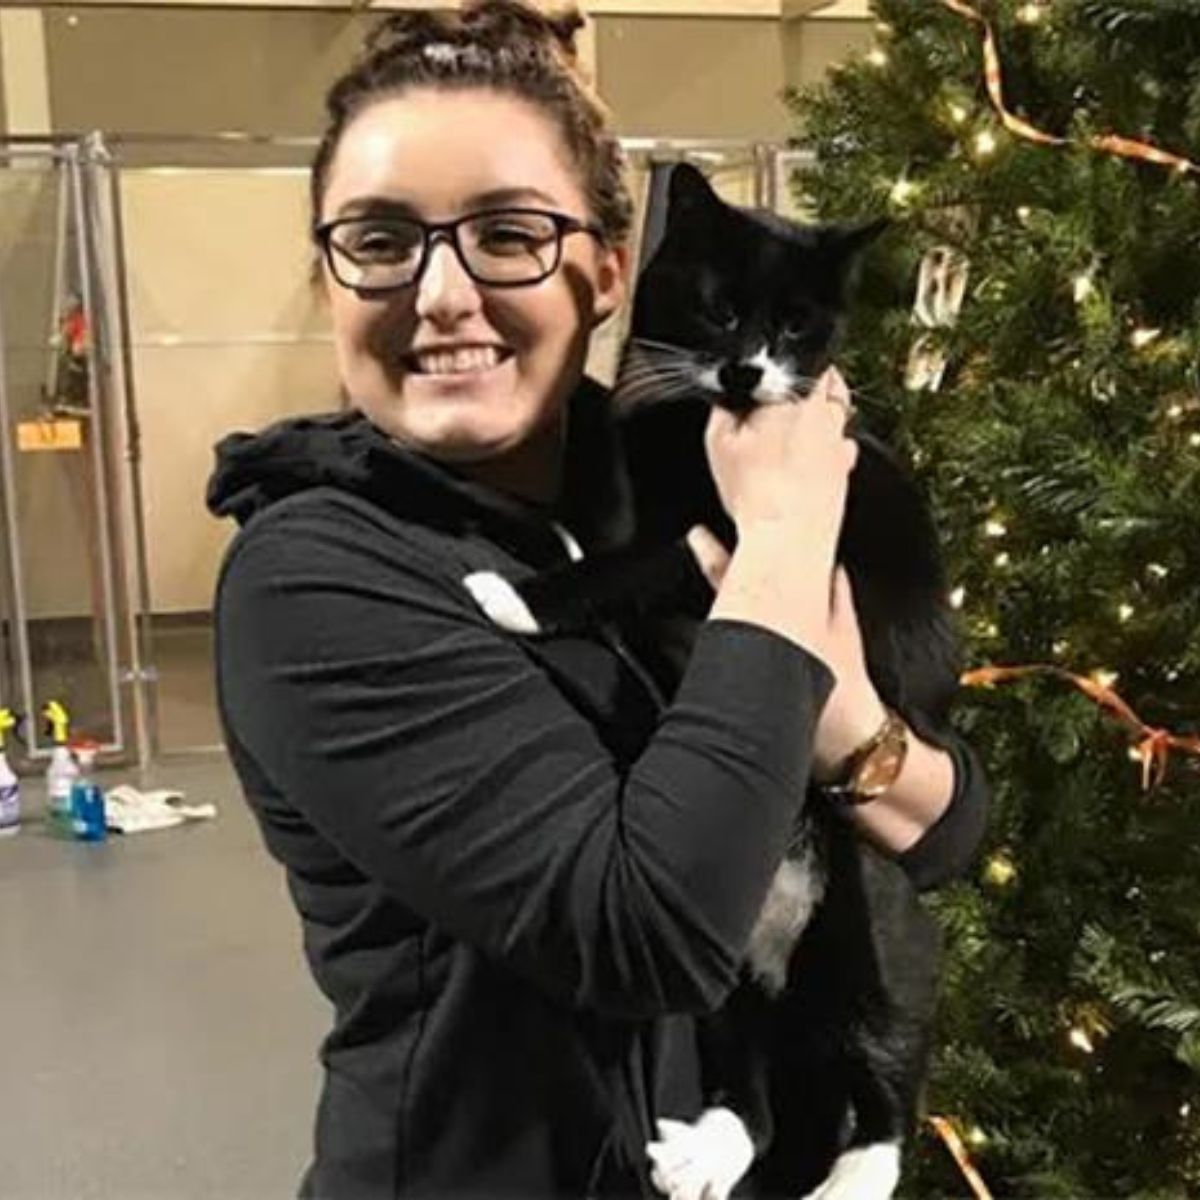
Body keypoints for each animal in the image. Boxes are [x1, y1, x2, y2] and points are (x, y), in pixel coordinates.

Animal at [463, 166, 960, 1200]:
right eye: (719, 305)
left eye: (801, 325)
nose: (748, 372)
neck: (690, 423)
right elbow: (601, 507)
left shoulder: (718, 543)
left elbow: (630, 564)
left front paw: (519, 596)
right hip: (720, 960)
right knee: (756, 1084)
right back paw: (709, 1146)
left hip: (874, 910)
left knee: (891, 1073)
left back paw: (855, 1171)